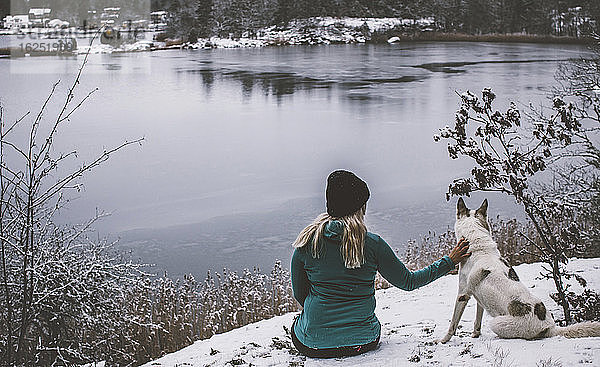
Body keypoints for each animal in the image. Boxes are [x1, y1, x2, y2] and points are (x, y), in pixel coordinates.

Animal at [438, 197, 600, 344]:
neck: (478, 246)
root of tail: (550, 328)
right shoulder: (479, 299)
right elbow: (477, 320)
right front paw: (475, 335)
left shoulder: (462, 295)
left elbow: (453, 324)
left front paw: (443, 340)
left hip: (496, 322)